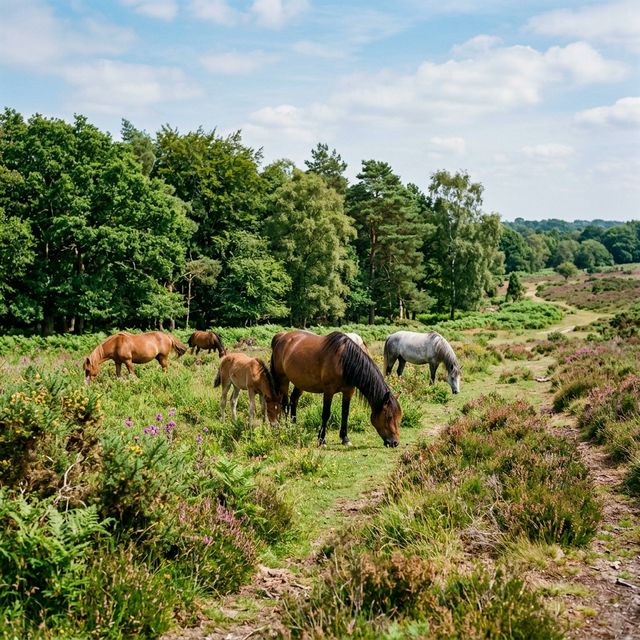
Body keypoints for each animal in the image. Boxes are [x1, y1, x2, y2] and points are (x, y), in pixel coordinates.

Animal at [270, 330, 401, 447]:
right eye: (389, 417)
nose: (394, 443)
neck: (344, 361)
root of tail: (281, 336)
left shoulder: (348, 391)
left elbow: (345, 413)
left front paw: (345, 438)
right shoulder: (329, 391)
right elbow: (326, 413)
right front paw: (321, 440)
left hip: (300, 382)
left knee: (294, 401)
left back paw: (294, 426)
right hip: (283, 380)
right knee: (285, 404)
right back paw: (287, 428)